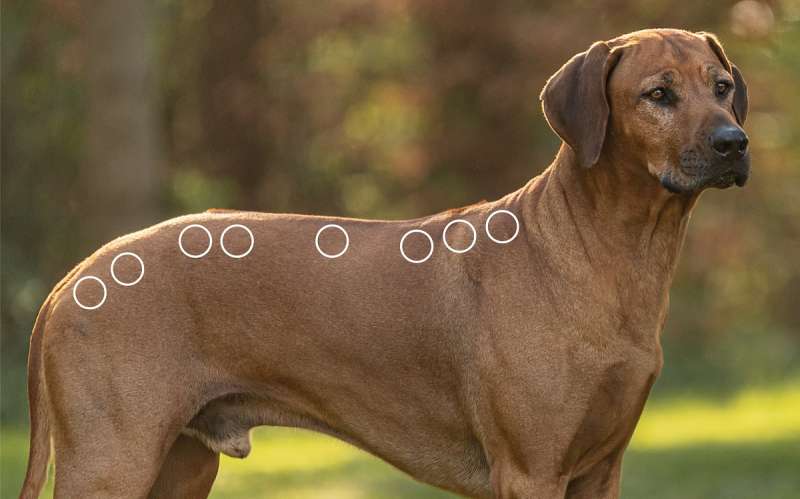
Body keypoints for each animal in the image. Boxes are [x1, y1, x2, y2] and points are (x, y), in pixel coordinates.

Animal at [21, 29, 752, 498]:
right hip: (110, 462)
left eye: (721, 87)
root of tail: (71, 280)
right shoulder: (530, 470)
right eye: (658, 94)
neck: (604, 251)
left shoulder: (599, 471)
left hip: (179, 466)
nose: (734, 142)